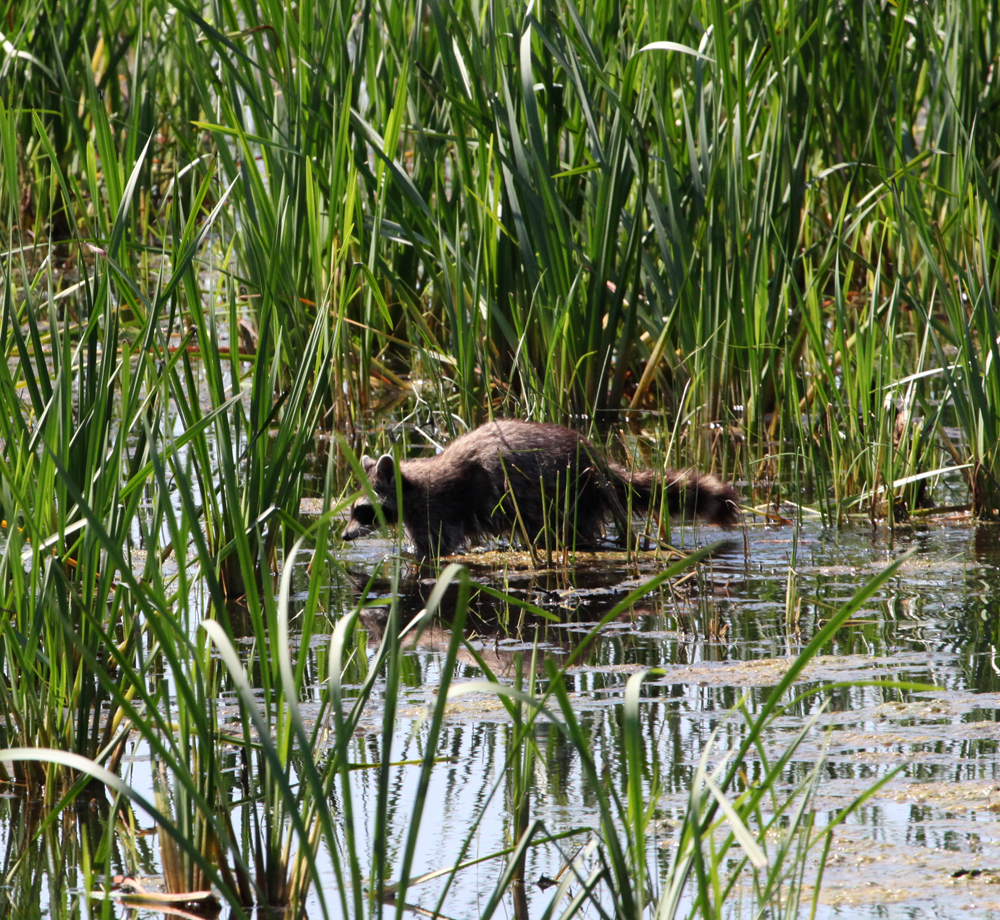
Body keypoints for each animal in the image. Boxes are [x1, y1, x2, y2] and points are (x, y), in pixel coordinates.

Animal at [344, 418, 744, 560]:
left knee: (563, 530)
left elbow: (437, 547)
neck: (410, 484)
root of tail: (595, 459)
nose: (344, 535)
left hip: (565, 492)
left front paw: (414, 557)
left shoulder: (438, 508)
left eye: (361, 510)